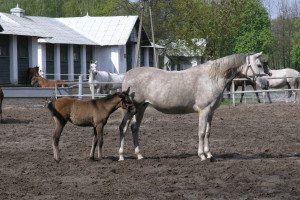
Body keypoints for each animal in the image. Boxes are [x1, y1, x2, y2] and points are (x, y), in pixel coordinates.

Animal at [118, 52, 266, 162]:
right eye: (259, 65)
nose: (265, 83)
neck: (212, 77)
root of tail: (127, 75)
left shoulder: (211, 112)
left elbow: (208, 132)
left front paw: (209, 154)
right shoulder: (203, 110)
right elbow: (201, 132)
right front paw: (202, 155)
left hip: (141, 107)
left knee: (134, 128)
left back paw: (139, 155)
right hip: (130, 109)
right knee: (123, 127)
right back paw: (121, 156)